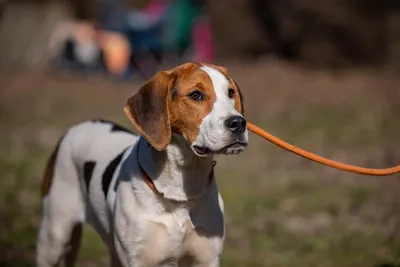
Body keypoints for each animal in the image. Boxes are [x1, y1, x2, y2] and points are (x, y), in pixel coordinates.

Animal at [36, 62, 247, 267]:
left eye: (230, 92)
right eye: (196, 95)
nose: (239, 123)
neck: (180, 187)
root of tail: (76, 127)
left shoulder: (206, 259)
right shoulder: (137, 259)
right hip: (54, 237)